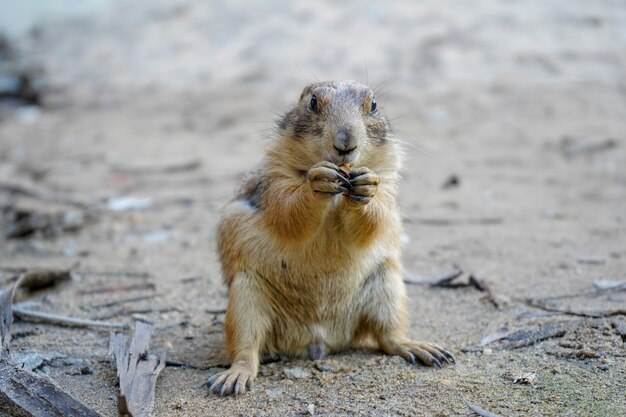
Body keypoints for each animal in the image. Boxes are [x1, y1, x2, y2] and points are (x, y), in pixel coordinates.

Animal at [207, 79, 450, 394]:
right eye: (312, 102)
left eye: (374, 104)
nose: (345, 141)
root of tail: (318, 339)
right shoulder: (275, 179)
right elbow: (287, 210)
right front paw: (318, 180)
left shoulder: (388, 181)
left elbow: (378, 216)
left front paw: (366, 186)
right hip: (244, 299)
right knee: (247, 348)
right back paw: (234, 376)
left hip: (389, 289)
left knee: (388, 337)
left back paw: (420, 348)